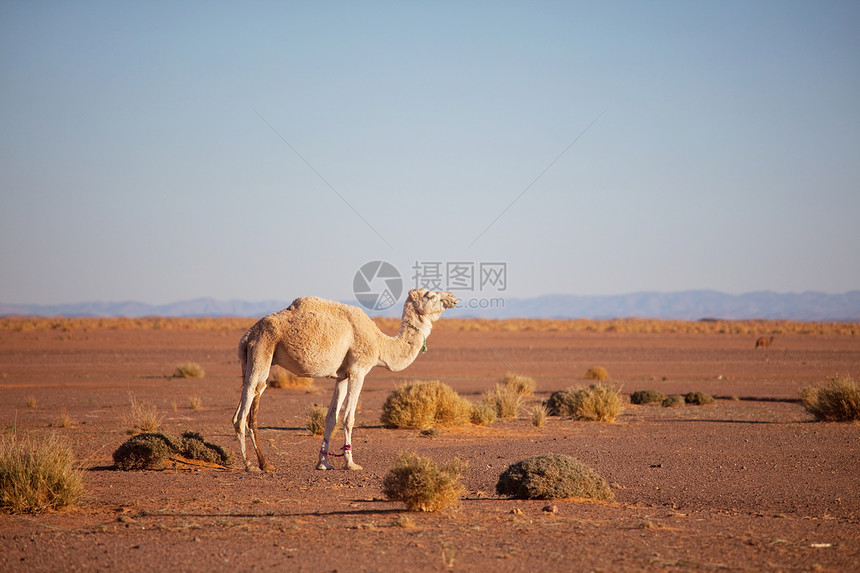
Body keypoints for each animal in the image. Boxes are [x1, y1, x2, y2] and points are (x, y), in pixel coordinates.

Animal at [228, 288, 456, 472]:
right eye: (430, 295)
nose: (453, 298)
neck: (379, 344)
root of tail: (248, 335)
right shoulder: (358, 370)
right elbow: (349, 417)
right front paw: (351, 463)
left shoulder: (342, 376)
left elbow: (331, 418)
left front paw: (323, 463)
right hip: (262, 349)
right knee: (244, 408)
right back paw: (250, 465)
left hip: (250, 358)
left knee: (252, 396)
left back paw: (264, 463)